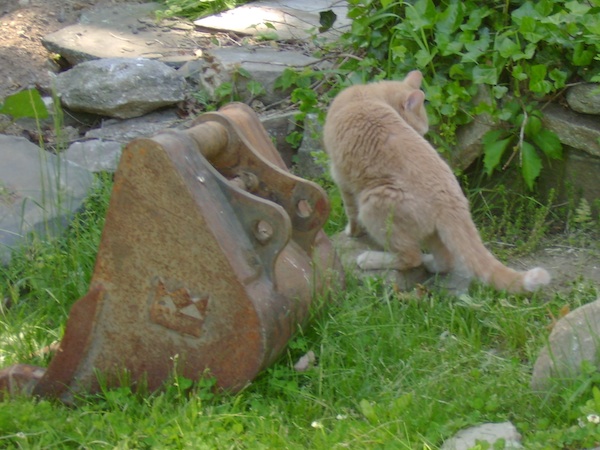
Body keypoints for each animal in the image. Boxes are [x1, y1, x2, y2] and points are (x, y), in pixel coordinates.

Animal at [326, 69, 552, 296]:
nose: (423, 137)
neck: (366, 96)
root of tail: (453, 199)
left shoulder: (341, 178)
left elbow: (351, 213)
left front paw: (352, 232)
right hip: (433, 232)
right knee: (445, 261)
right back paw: (430, 263)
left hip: (373, 204)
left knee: (411, 257)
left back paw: (370, 259)